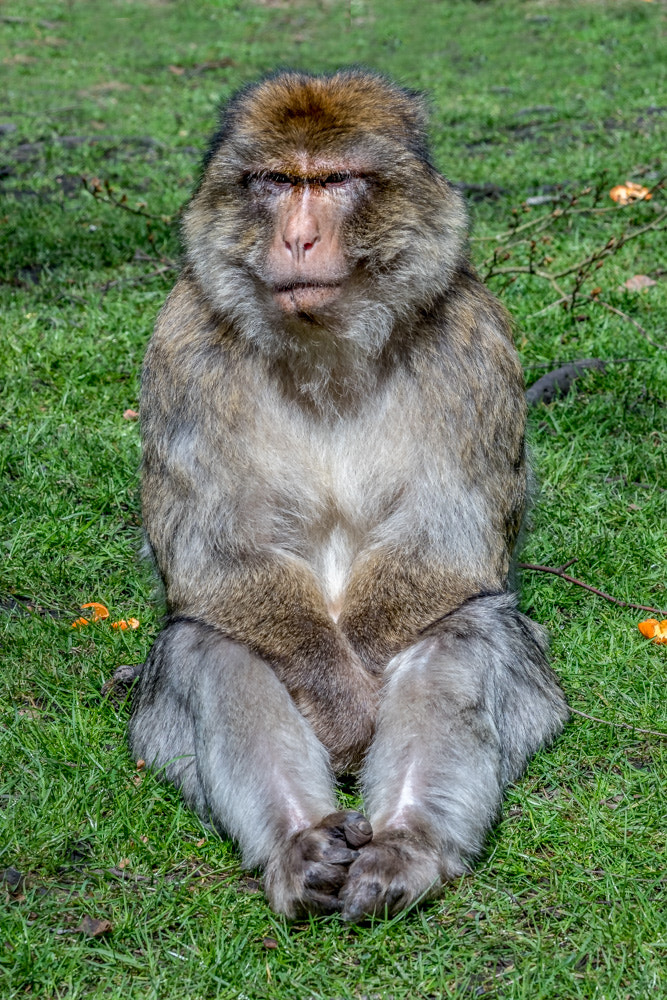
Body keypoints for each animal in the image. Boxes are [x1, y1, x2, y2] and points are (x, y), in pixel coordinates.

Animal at [129, 70, 569, 921]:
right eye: (274, 182)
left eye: (333, 182)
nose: (299, 238)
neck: (327, 351)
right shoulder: (182, 348)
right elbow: (215, 554)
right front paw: (341, 707)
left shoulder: (472, 343)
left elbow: (448, 543)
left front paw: (359, 713)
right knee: (211, 641)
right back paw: (301, 847)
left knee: (464, 627)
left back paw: (403, 850)